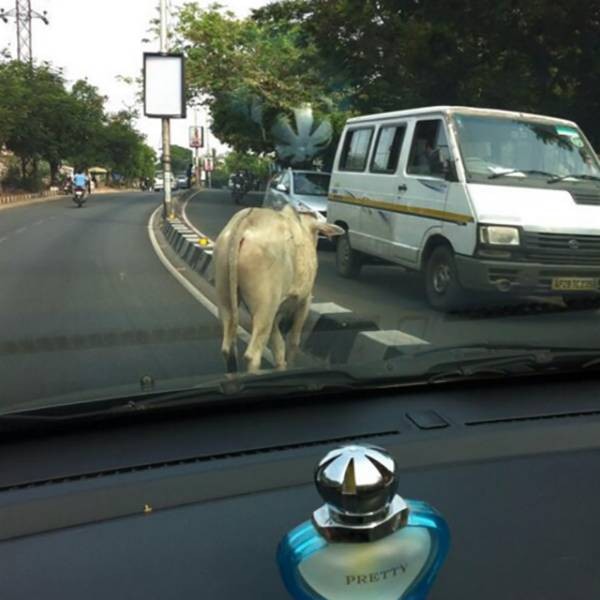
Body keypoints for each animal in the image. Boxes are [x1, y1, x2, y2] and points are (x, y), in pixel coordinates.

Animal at [213, 205, 342, 370]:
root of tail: (248, 221)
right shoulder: (304, 301)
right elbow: (293, 341)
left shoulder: (276, 312)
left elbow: (279, 347)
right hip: (266, 305)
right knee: (252, 355)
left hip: (225, 296)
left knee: (227, 348)